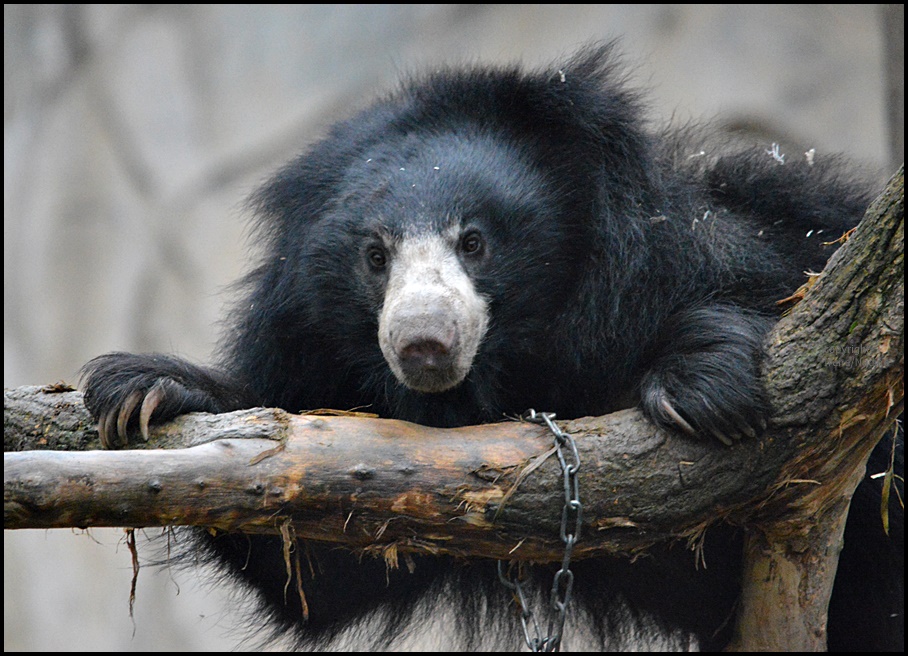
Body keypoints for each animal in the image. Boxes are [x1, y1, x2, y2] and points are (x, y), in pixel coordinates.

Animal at [83, 46, 900, 652]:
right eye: (375, 256)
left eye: (474, 241)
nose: (423, 342)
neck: (517, 367)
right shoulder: (314, 357)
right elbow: (320, 563)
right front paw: (145, 389)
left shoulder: (707, 250)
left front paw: (701, 386)